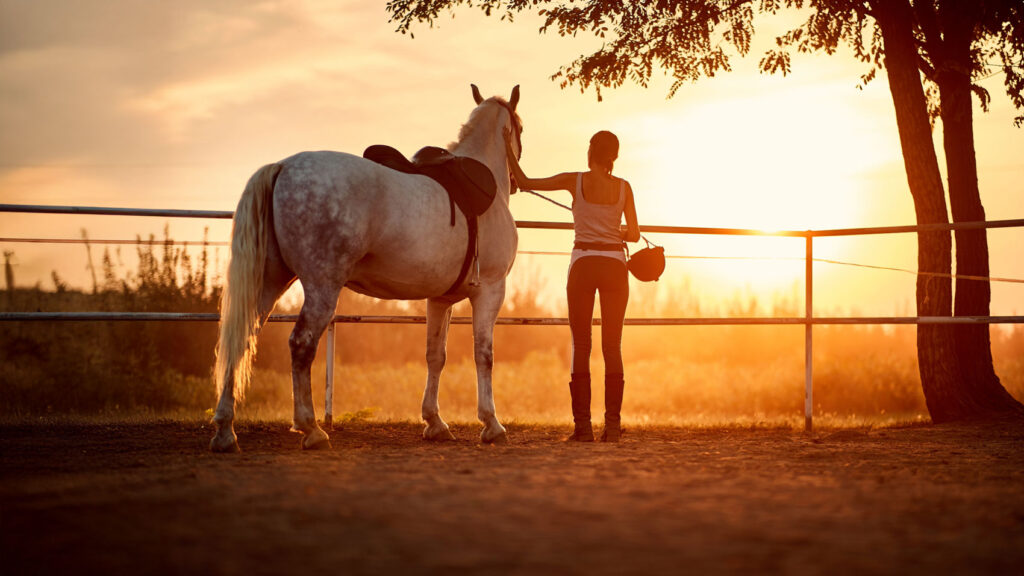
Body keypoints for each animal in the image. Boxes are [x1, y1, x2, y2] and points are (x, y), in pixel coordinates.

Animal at [210, 85, 523, 452]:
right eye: (520, 127)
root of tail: (283, 167)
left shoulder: (439, 300)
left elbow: (435, 355)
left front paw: (434, 422)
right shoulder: (490, 290)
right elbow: (483, 354)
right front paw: (491, 424)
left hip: (270, 281)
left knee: (241, 338)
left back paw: (225, 431)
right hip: (322, 286)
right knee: (301, 344)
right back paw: (311, 428)